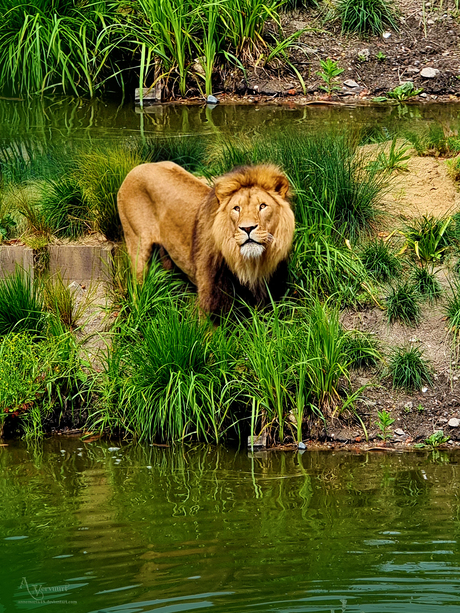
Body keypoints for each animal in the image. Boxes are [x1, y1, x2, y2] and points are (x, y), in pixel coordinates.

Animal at [117, 161, 294, 316]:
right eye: (236, 208)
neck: (250, 265)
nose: (247, 228)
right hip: (137, 247)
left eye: (263, 206)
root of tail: (138, 167)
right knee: (138, 286)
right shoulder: (212, 296)